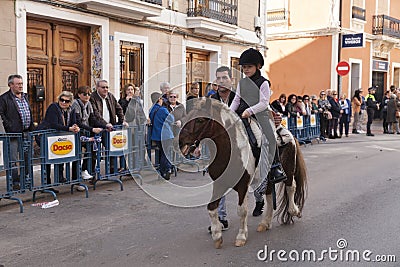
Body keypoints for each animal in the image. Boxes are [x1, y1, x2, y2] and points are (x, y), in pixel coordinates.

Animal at [177, 98, 306, 249]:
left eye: (200, 120)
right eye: (188, 116)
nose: (180, 141)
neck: (229, 148)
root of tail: (288, 133)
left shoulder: (243, 185)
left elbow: (242, 210)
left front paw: (241, 236)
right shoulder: (219, 184)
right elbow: (211, 208)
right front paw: (217, 235)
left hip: (289, 169)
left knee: (291, 187)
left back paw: (294, 211)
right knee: (269, 194)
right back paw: (265, 222)